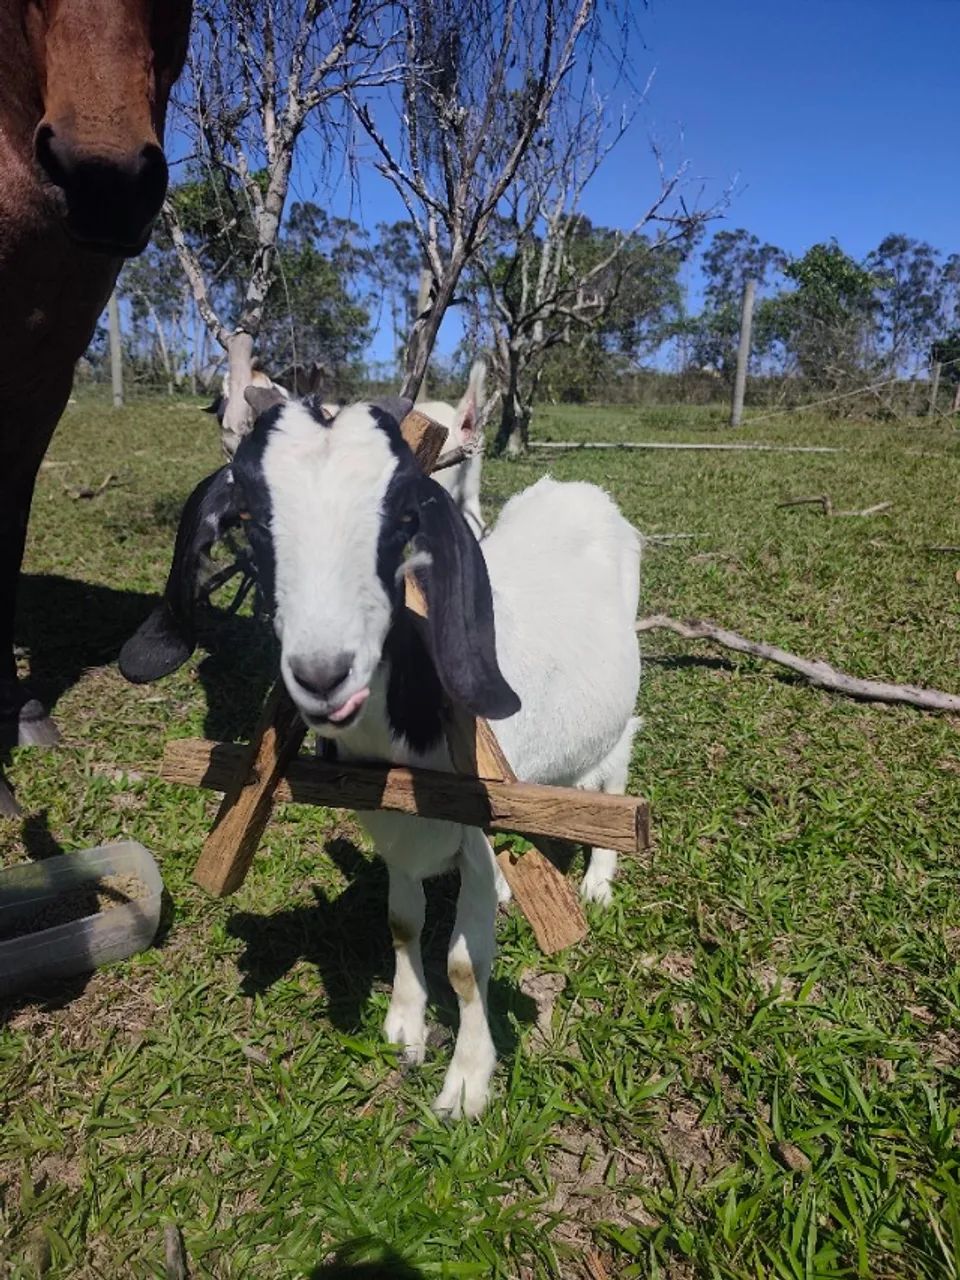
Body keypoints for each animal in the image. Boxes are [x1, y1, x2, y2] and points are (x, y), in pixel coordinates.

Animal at [120, 390, 641, 1118]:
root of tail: (578, 491)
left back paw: (596, 881)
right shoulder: (392, 826)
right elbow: (401, 922)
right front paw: (404, 1026)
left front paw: (466, 1084)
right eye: (249, 518)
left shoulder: (474, 835)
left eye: (400, 519)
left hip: (617, 724)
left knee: (610, 779)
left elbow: (465, 966)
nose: (322, 672)